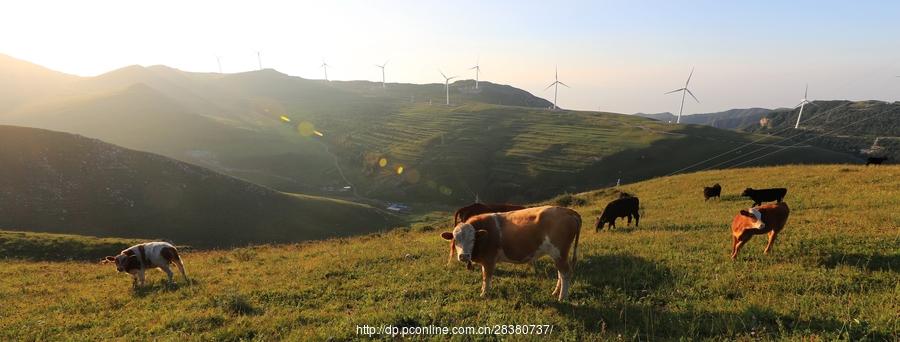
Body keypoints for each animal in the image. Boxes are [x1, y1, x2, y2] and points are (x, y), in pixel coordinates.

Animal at [440, 206, 580, 300]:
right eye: (455, 239)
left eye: (473, 239)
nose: (464, 256)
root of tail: (567, 210)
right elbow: (485, 277)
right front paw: (484, 290)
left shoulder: (489, 260)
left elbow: (486, 277)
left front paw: (484, 294)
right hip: (558, 254)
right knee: (560, 273)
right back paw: (556, 292)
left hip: (559, 252)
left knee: (565, 273)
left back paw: (562, 297)